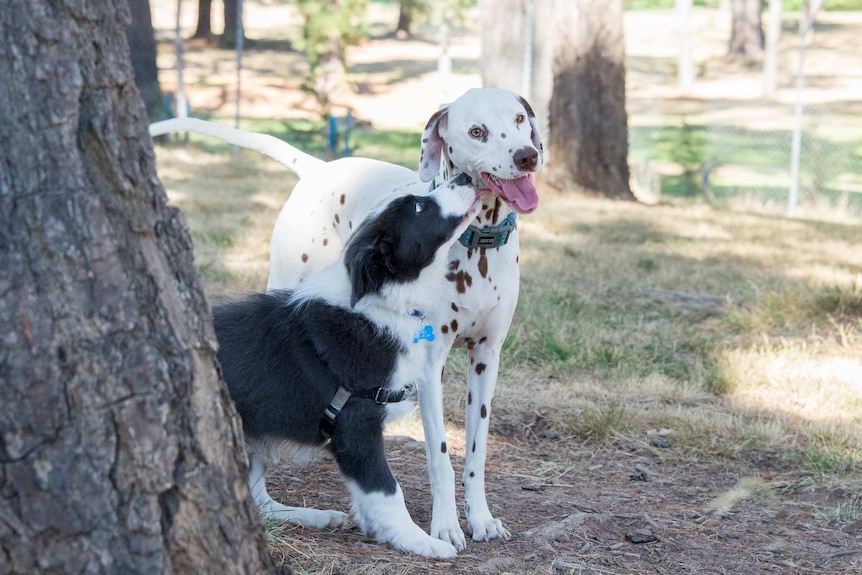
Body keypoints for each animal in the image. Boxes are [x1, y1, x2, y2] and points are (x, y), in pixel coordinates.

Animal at [213, 174, 482, 560]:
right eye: (419, 207)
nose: (464, 177)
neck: (382, 302)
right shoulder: (356, 424)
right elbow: (387, 489)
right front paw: (419, 540)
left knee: (259, 501)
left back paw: (316, 516)